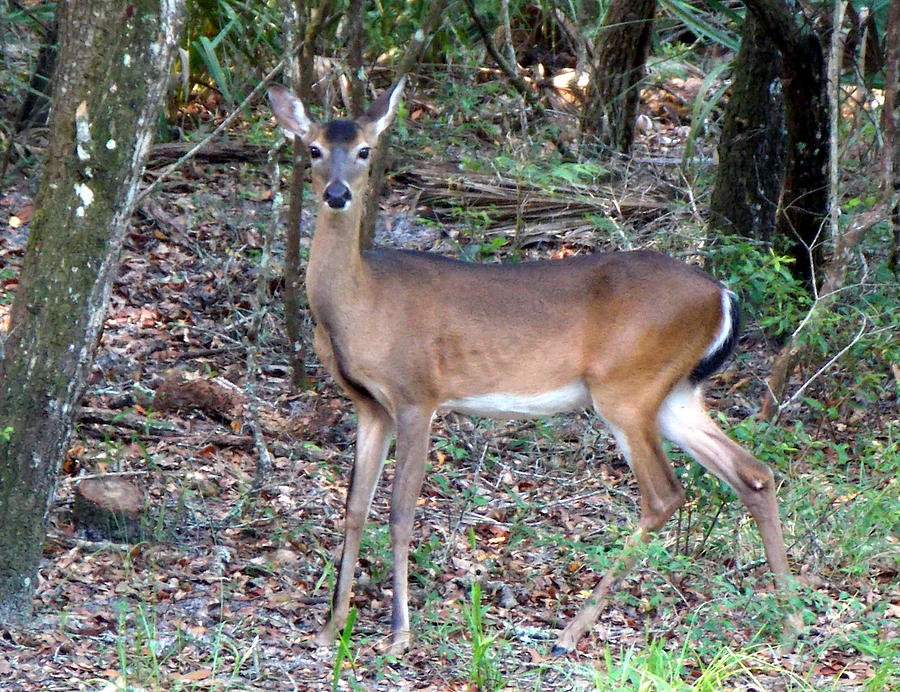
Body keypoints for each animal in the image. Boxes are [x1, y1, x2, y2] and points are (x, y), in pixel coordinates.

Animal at [268, 78, 800, 656]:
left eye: (365, 151)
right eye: (314, 150)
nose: (337, 194)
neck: (361, 305)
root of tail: (723, 293)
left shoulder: (417, 395)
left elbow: (401, 512)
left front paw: (398, 635)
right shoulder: (369, 405)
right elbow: (354, 508)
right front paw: (330, 628)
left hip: (627, 387)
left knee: (665, 494)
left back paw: (571, 631)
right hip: (675, 393)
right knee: (753, 473)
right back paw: (794, 616)